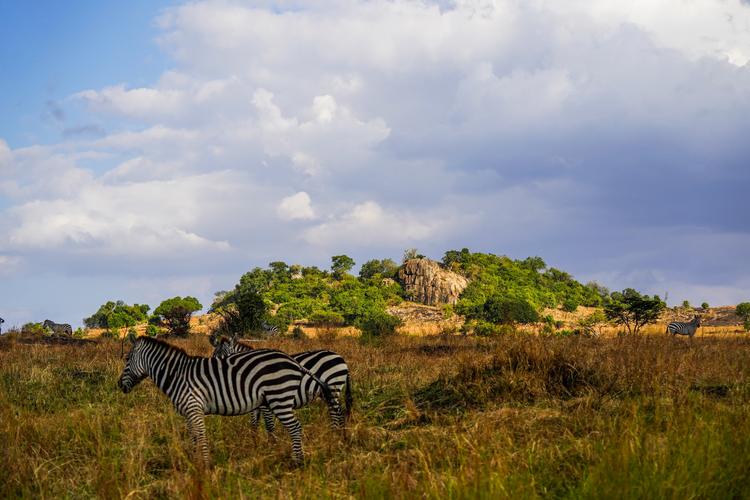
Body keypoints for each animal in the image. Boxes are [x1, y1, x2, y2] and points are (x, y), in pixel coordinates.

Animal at [212, 336, 352, 434]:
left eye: (226, 358)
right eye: (214, 357)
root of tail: (341, 358)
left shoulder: (263, 403)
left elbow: (268, 425)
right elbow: (254, 423)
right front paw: (255, 443)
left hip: (333, 388)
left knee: (336, 414)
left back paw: (334, 435)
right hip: (327, 392)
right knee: (339, 413)